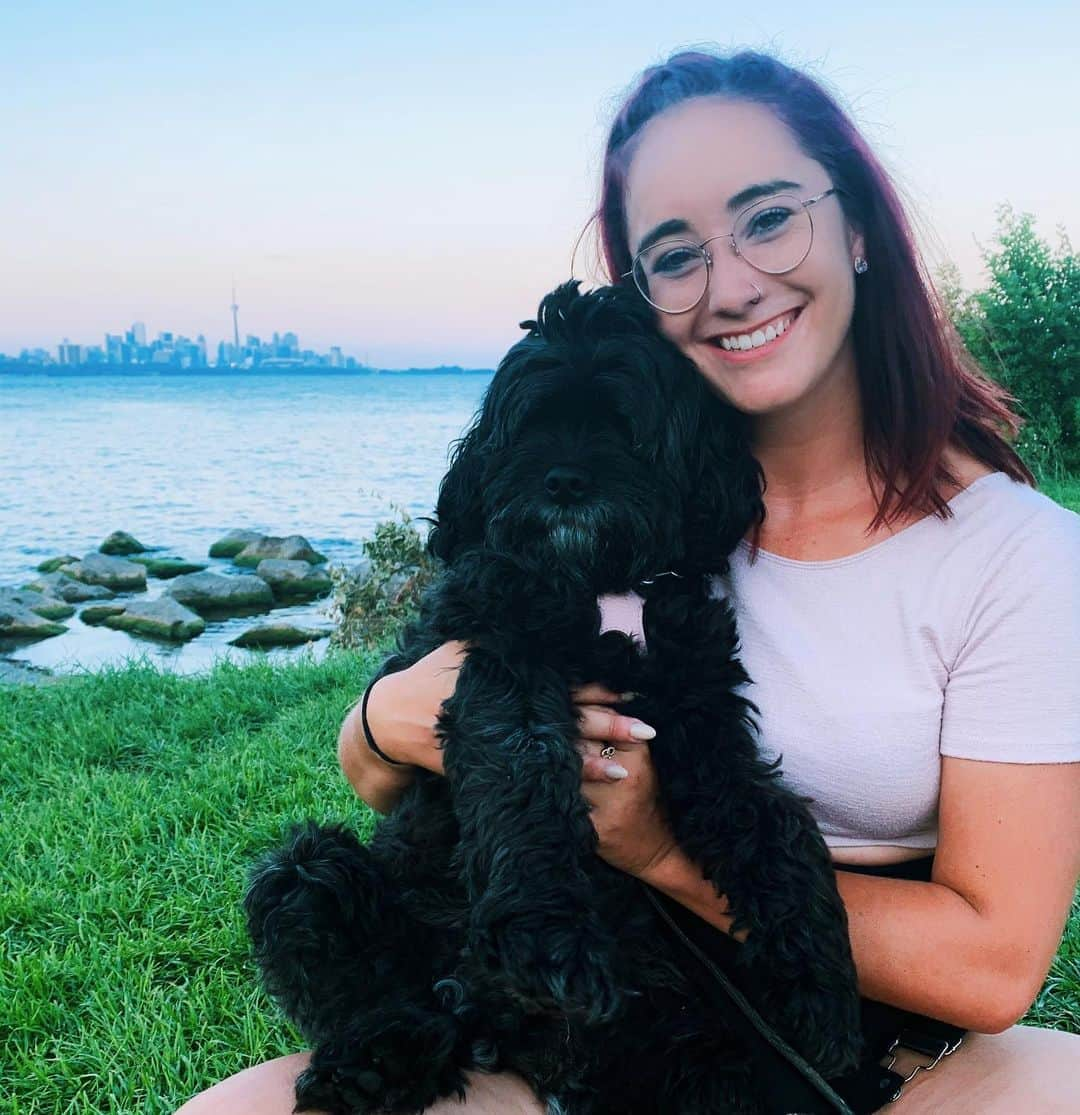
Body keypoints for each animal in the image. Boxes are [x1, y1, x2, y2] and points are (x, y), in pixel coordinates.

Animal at [244, 280, 860, 1115]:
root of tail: (499, 1034)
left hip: (692, 1046)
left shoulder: (700, 709)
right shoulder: (501, 663)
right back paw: (374, 1058)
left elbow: (769, 818)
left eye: (625, 426)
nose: (565, 481)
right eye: (532, 425)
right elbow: (523, 776)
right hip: (311, 876)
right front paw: (548, 937)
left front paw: (820, 980)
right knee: (373, 982)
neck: (600, 585)